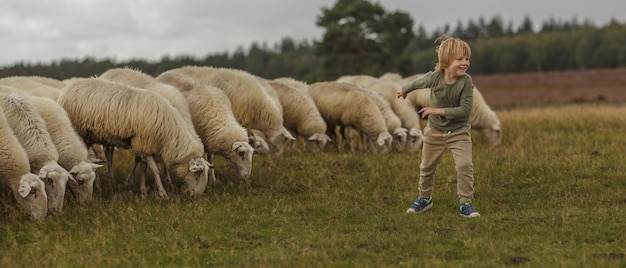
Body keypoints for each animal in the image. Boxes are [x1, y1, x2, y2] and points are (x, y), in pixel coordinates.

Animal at [58, 78, 210, 198]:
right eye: (197, 175)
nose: (197, 196)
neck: (168, 133)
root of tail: (65, 90)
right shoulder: (144, 142)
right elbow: (154, 169)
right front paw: (163, 193)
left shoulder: (143, 146)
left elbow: (143, 167)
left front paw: (143, 191)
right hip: (79, 133)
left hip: (88, 137)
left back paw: (98, 185)